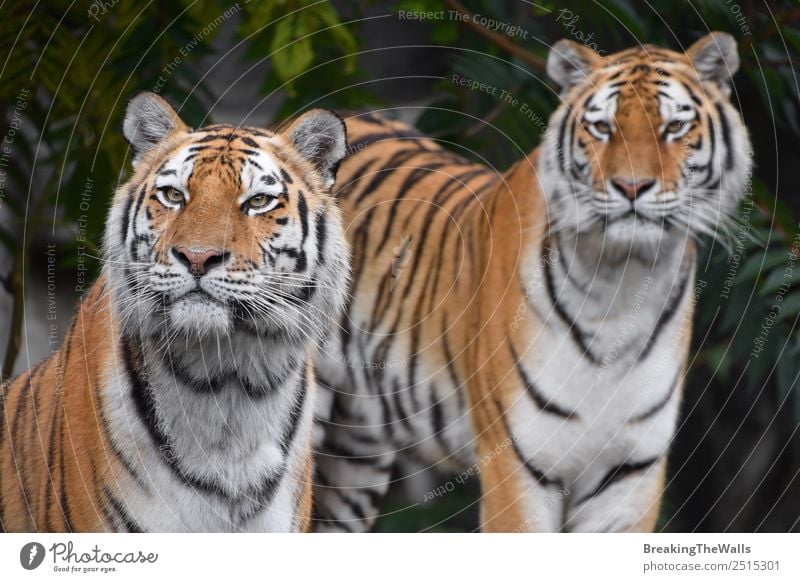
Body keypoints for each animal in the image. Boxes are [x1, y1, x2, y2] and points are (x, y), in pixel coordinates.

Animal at [312, 33, 752, 532]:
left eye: (675, 127)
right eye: (601, 128)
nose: (631, 187)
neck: (621, 284)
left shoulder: (630, 472)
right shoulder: (517, 464)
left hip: (356, 451)